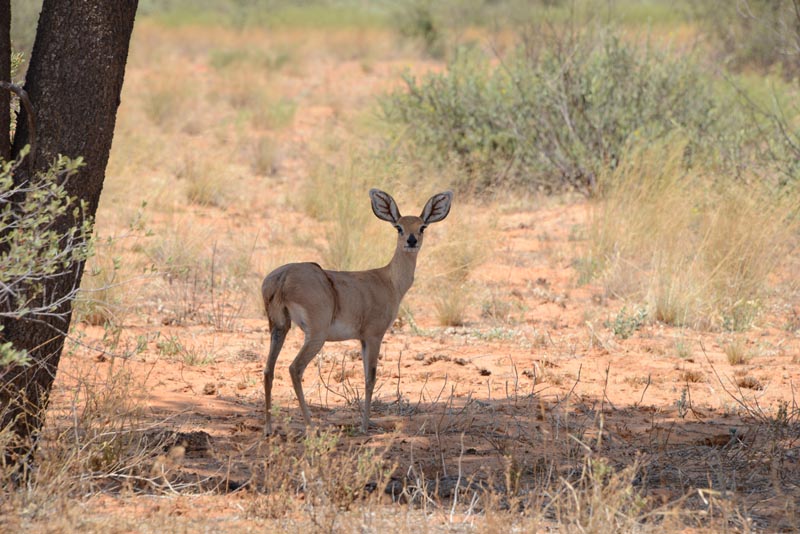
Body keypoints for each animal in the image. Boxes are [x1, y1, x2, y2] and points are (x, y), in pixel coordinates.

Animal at [260, 188, 454, 436]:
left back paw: (269, 428)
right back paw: (312, 427)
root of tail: (283, 277)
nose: (411, 241)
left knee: (268, 369)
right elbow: (370, 378)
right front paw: (364, 426)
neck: (389, 281)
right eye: (398, 227)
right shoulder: (374, 335)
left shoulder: (361, 339)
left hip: (279, 327)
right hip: (315, 335)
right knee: (295, 368)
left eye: (422, 227)